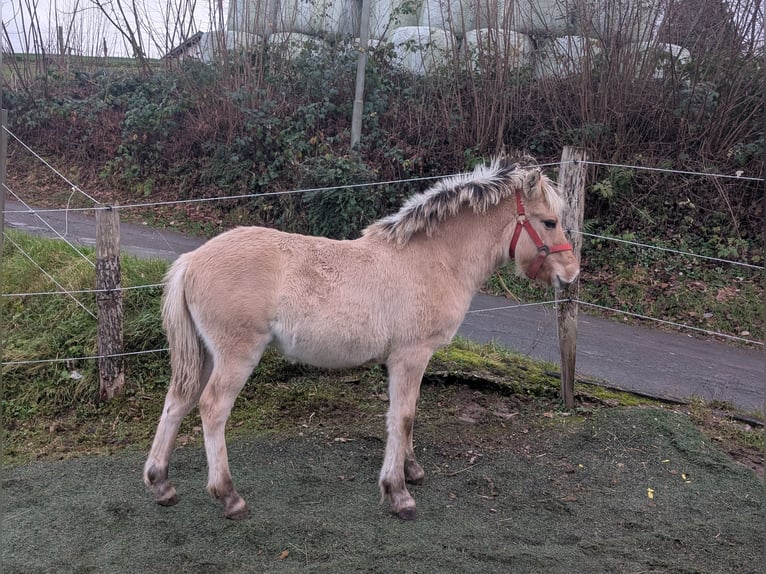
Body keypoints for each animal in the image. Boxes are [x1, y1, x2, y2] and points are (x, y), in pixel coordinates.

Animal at [143, 157, 580, 521]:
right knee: (212, 408)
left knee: (177, 402)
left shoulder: (401, 360)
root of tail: (192, 260)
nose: (572, 274)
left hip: (204, 355)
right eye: (549, 222)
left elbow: (401, 415)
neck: (432, 259)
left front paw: (410, 468)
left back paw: (161, 484)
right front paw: (398, 493)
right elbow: (403, 417)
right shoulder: (412, 356)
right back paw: (229, 496)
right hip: (236, 356)